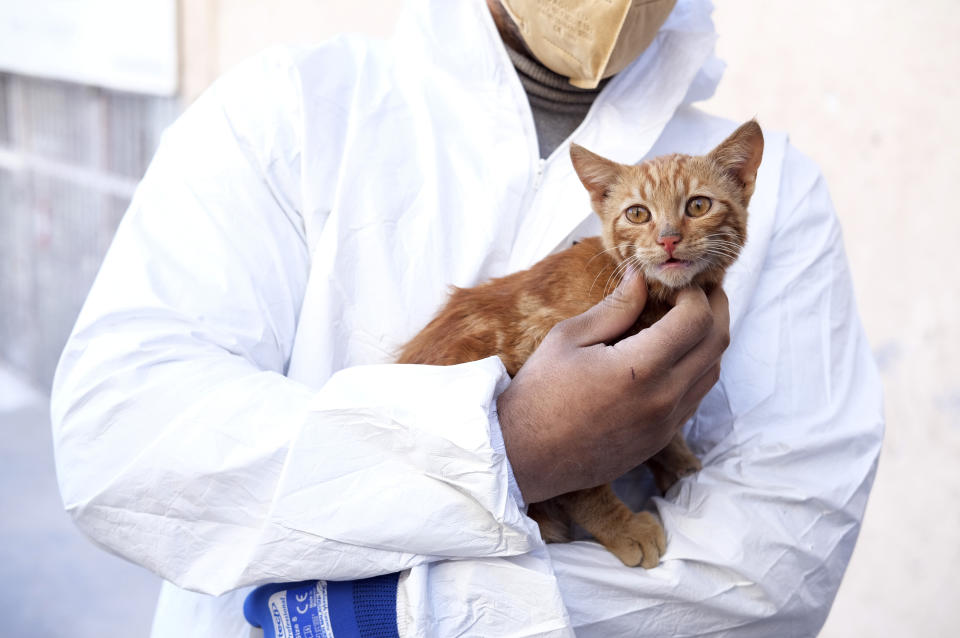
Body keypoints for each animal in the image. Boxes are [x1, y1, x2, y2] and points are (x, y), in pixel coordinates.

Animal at [398, 120, 764, 568]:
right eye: (638, 213)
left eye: (697, 205)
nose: (668, 239)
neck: (659, 300)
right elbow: (579, 479)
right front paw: (623, 527)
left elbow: (665, 436)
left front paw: (679, 463)